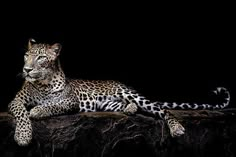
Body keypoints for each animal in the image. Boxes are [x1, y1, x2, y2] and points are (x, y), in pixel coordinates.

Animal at [7, 38, 230, 147]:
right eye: (26, 56)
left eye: (41, 58)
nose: (26, 69)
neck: (43, 83)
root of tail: (119, 82)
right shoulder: (15, 101)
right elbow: (22, 114)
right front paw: (23, 136)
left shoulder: (70, 102)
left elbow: (53, 105)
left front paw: (38, 110)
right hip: (107, 103)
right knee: (126, 105)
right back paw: (130, 110)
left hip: (131, 94)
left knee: (161, 110)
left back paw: (176, 128)